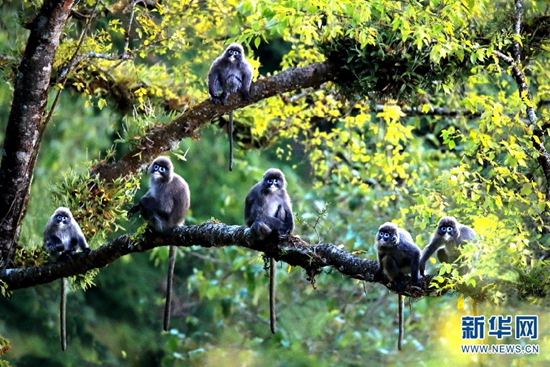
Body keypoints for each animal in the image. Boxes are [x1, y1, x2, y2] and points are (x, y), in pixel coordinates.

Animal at [43, 207, 91, 350]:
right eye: (59, 217)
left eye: (65, 218)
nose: (61, 219)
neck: (62, 227)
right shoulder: (50, 225)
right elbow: (48, 239)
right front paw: (58, 244)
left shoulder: (73, 225)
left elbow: (79, 236)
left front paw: (86, 249)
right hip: (53, 254)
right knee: (51, 245)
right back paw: (62, 256)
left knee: (73, 240)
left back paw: (70, 253)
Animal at [128, 157, 191, 332]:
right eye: (156, 166)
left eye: (162, 169)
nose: (157, 170)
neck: (163, 180)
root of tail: (176, 225)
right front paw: (135, 207)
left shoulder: (165, 190)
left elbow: (164, 208)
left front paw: (141, 202)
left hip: (162, 225)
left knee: (150, 210)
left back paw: (151, 230)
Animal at [209, 42, 254, 172]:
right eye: (231, 51)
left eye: (236, 52)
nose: (233, 54)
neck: (232, 62)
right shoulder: (220, 60)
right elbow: (213, 72)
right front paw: (212, 93)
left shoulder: (243, 64)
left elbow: (248, 73)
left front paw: (245, 91)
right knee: (218, 78)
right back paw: (217, 96)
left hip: (236, 85)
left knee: (232, 79)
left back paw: (226, 94)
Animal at [246, 170, 296, 334]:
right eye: (269, 180)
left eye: (276, 180)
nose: (272, 184)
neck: (272, 192)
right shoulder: (261, 194)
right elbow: (258, 216)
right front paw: (282, 228)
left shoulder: (283, 193)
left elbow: (287, 208)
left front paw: (288, 228)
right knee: (257, 224)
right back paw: (273, 235)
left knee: (282, 207)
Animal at [376, 223, 422, 352]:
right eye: (381, 233)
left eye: (386, 234)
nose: (381, 237)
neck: (391, 246)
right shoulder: (380, 246)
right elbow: (381, 256)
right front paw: (379, 270)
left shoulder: (402, 244)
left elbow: (416, 252)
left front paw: (415, 279)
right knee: (387, 258)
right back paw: (396, 279)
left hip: (406, 267)